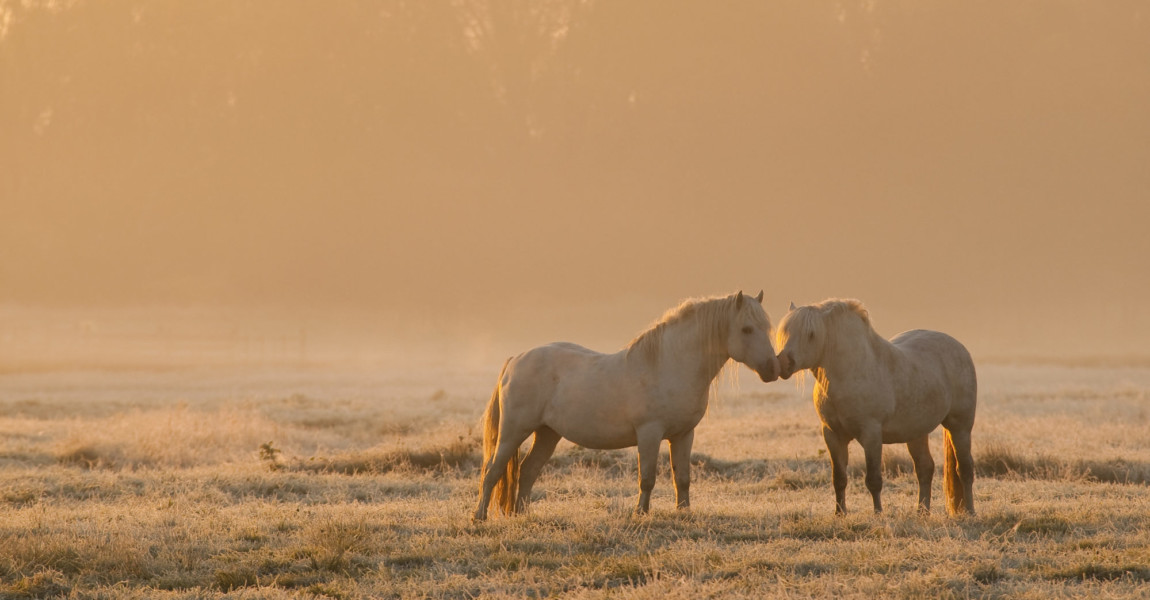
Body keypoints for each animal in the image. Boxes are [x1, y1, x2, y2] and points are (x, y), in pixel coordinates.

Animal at [469, 290, 782, 517]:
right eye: (746, 329)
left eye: (766, 327)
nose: (772, 369)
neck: (668, 365)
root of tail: (516, 360)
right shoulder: (649, 433)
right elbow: (647, 477)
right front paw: (640, 513)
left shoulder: (684, 435)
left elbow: (682, 477)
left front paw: (684, 513)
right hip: (513, 432)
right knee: (492, 471)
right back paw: (479, 517)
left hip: (547, 433)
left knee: (527, 471)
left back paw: (520, 514)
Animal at [772, 298, 979, 512]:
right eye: (785, 332)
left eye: (811, 334)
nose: (784, 363)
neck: (848, 372)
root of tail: (959, 347)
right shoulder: (832, 435)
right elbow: (839, 478)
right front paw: (840, 513)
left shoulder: (871, 434)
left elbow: (873, 479)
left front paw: (878, 513)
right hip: (917, 433)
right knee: (925, 468)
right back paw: (922, 512)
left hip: (960, 427)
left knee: (964, 469)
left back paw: (970, 511)